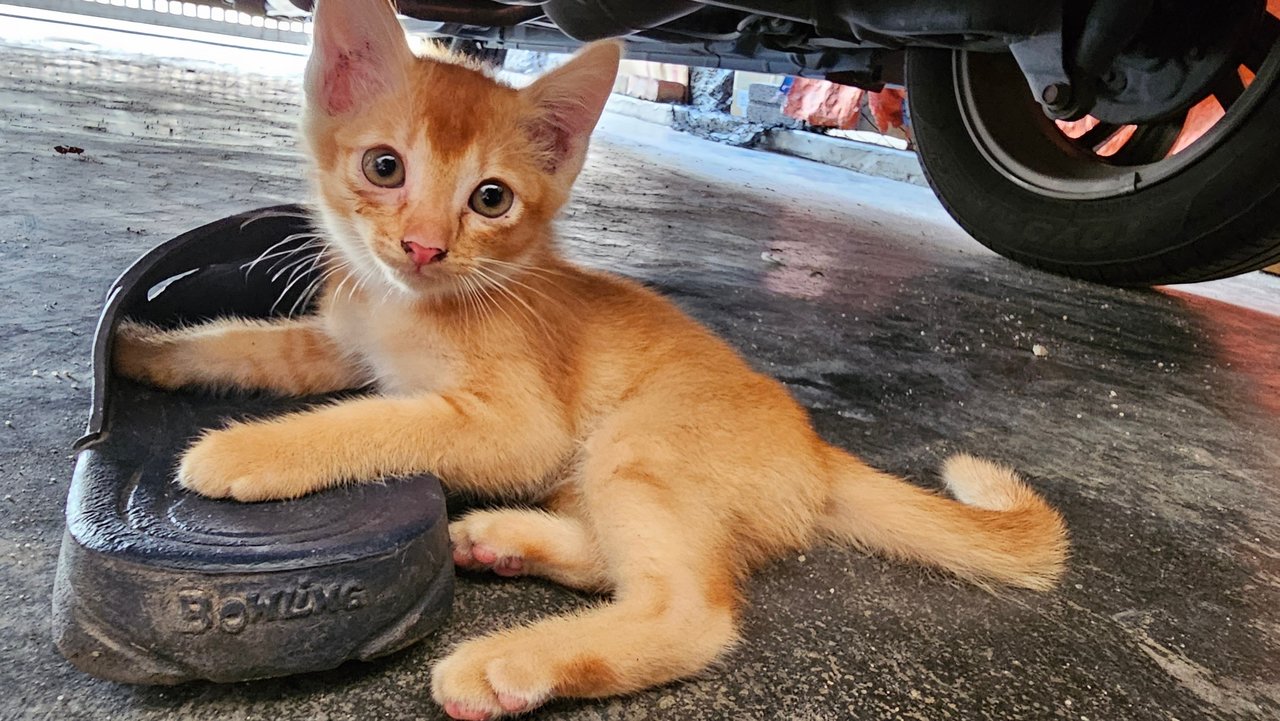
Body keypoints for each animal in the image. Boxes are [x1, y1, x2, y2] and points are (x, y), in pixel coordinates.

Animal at [115, 0, 1064, 717]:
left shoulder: (515, 422)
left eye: (490, 199)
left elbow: (378, 419)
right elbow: (253, 345)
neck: (409, 306)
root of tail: (816, 448)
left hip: (641, 444)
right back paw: (506, 539)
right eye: (384, 166)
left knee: (690, 607)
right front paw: (146, 348)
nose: (423, 246)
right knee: (628, 557)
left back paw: (508, 663)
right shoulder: (338, 341)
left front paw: (246, 448)